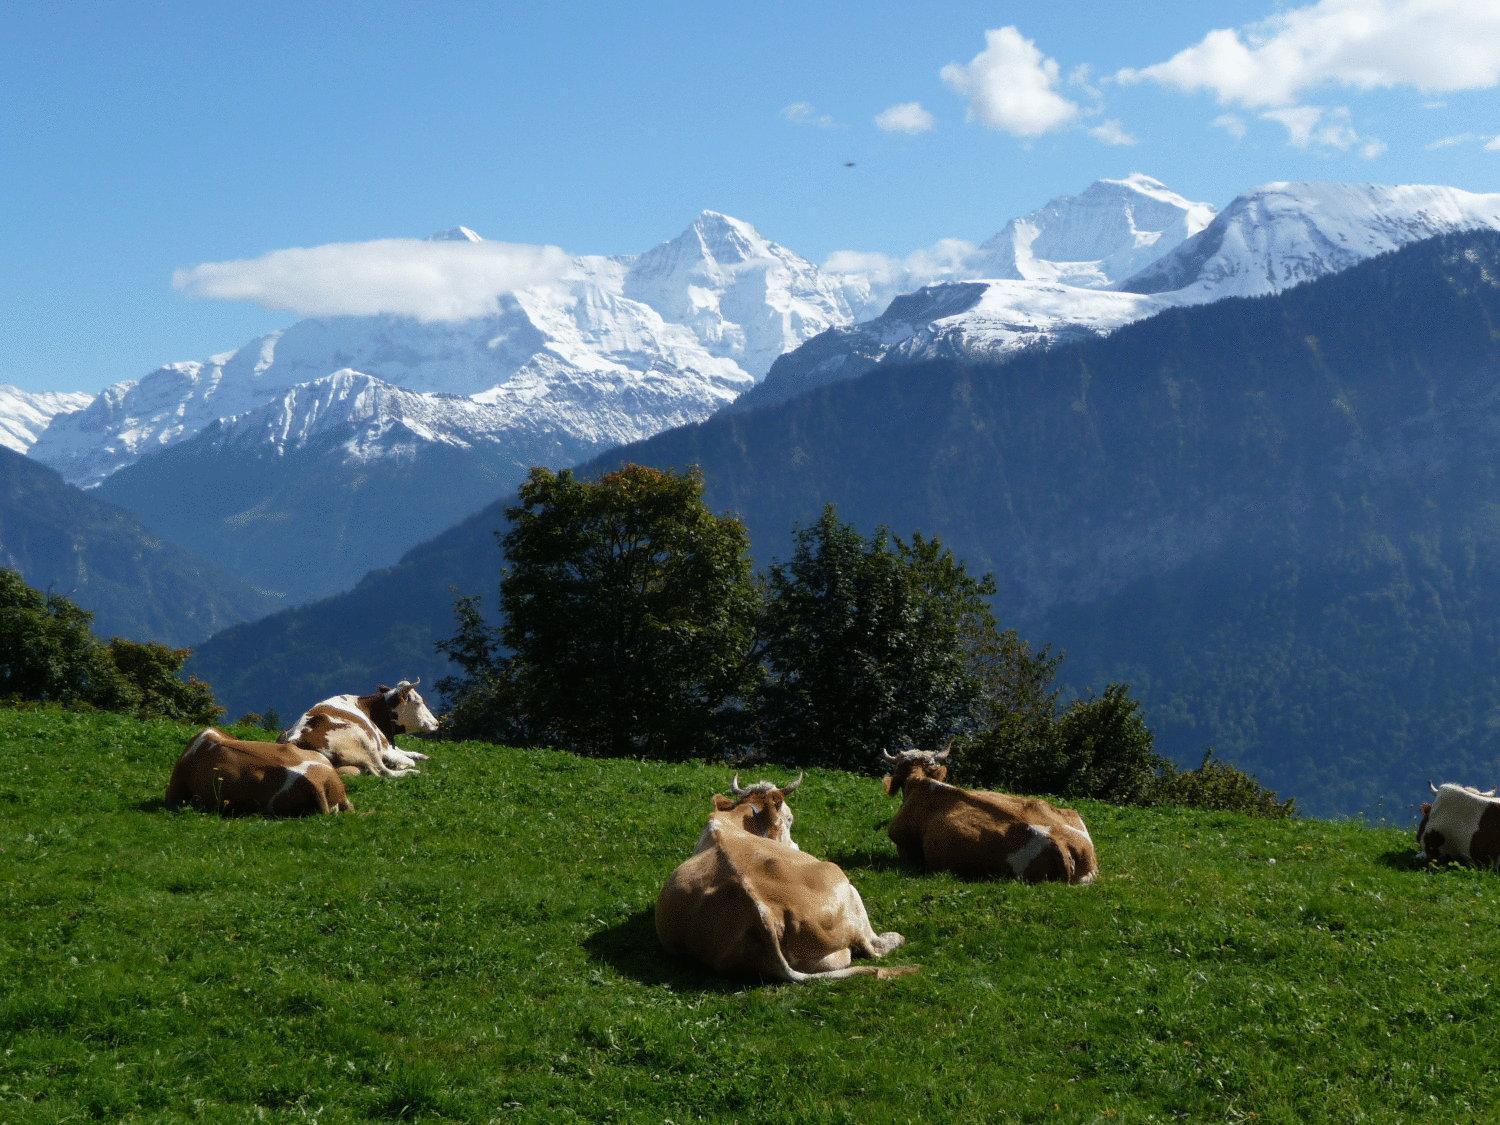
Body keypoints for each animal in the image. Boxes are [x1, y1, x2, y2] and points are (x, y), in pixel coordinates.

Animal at [282, 684, 441, 780]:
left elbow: (407, 752)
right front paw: (403, 763)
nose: (437, 723)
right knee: (383, 771)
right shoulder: (384, 747)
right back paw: (409, 771)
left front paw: (420, 755)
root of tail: (295, 739)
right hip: (365, 740)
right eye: (418, 702)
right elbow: (407, 760)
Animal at [663, 774, 918, 984]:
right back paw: (895, 938)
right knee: (872, 946)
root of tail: (763, 911)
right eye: (789, 819)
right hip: (843, 884)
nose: (795, 846)